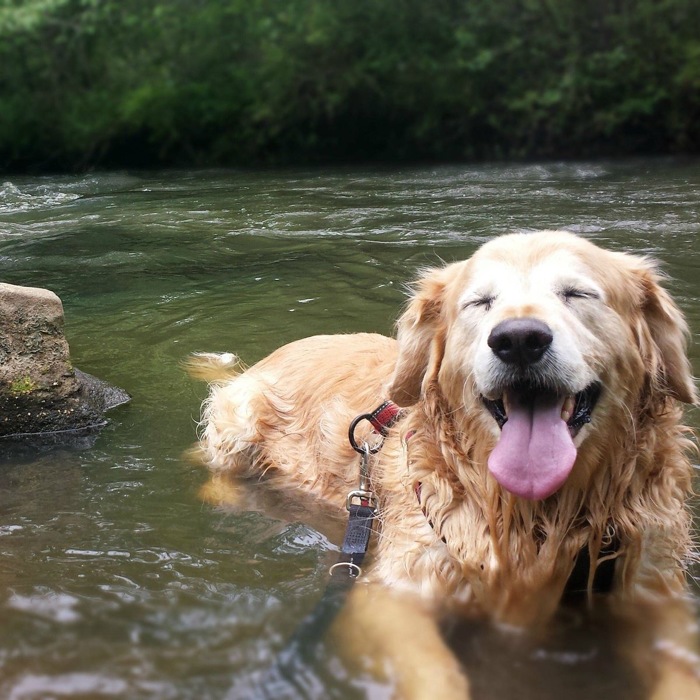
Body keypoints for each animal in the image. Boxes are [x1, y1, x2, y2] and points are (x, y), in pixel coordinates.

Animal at [189, 232, 696, 700]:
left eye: (577, 293)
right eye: (480, 302)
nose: (518, 340)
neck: (532, 515)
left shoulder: (654, 590)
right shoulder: (392, 593)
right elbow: (435, 673)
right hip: (239, 424)